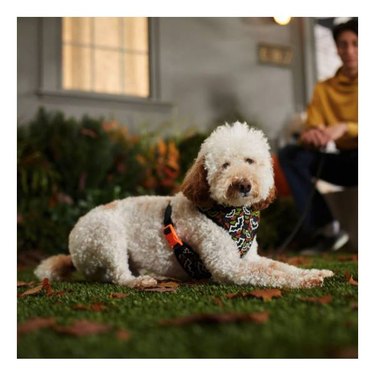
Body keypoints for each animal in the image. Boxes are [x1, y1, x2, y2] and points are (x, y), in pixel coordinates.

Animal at [35, 122, 334, 290]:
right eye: (224, 165)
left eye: (250, 161)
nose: (243, 185)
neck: (231, 213)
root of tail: (72, 249)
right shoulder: (228, 265)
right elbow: (268, 274)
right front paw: (303, 282)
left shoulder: (251, 258)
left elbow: (280, 267)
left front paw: (314, 272)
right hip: (105, 234)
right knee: (118, 275)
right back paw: (140, 281)